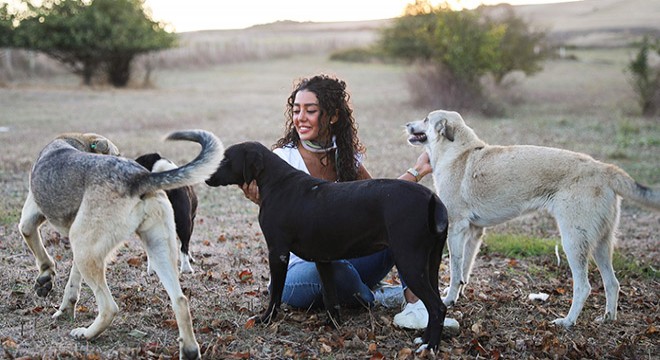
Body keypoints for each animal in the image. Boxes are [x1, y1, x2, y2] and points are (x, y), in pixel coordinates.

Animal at [18, 130, 224, 360]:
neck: (77, 140)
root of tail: (139, 178)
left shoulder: (30, 218)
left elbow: (34, 241)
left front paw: (45, 278)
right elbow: (72, 284)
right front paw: (65, 309)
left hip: (83, 246)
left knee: (109, 307)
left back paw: (86, 334)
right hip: (154, 247)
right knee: (180, 300)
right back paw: (189, 350)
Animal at [206, 141, 452, 352]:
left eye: (226, 158)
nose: (206, 177)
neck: (276, 183)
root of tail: (432, 198)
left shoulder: (278, 252)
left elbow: (275, 293)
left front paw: (266, 319)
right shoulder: (323, 258)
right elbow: (330, 298)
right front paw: (333, 326)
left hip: (408, 260)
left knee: (437, 307)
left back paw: (430, 346)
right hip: (430, 263)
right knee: (435, 305)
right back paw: (425, 339)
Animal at [408, 111, 660, 328]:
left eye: (426, 119)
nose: (407, 124)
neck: (458, 153)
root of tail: (604, 169)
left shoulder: (457, 229)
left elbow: (455, 270)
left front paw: (449, 299)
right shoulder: (474, 232)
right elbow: (464, 272)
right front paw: (458, 295)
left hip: (574, 242)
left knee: (584, 287)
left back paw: (568, 322)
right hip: (601, 244)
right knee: (612, 283)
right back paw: (608, 318)